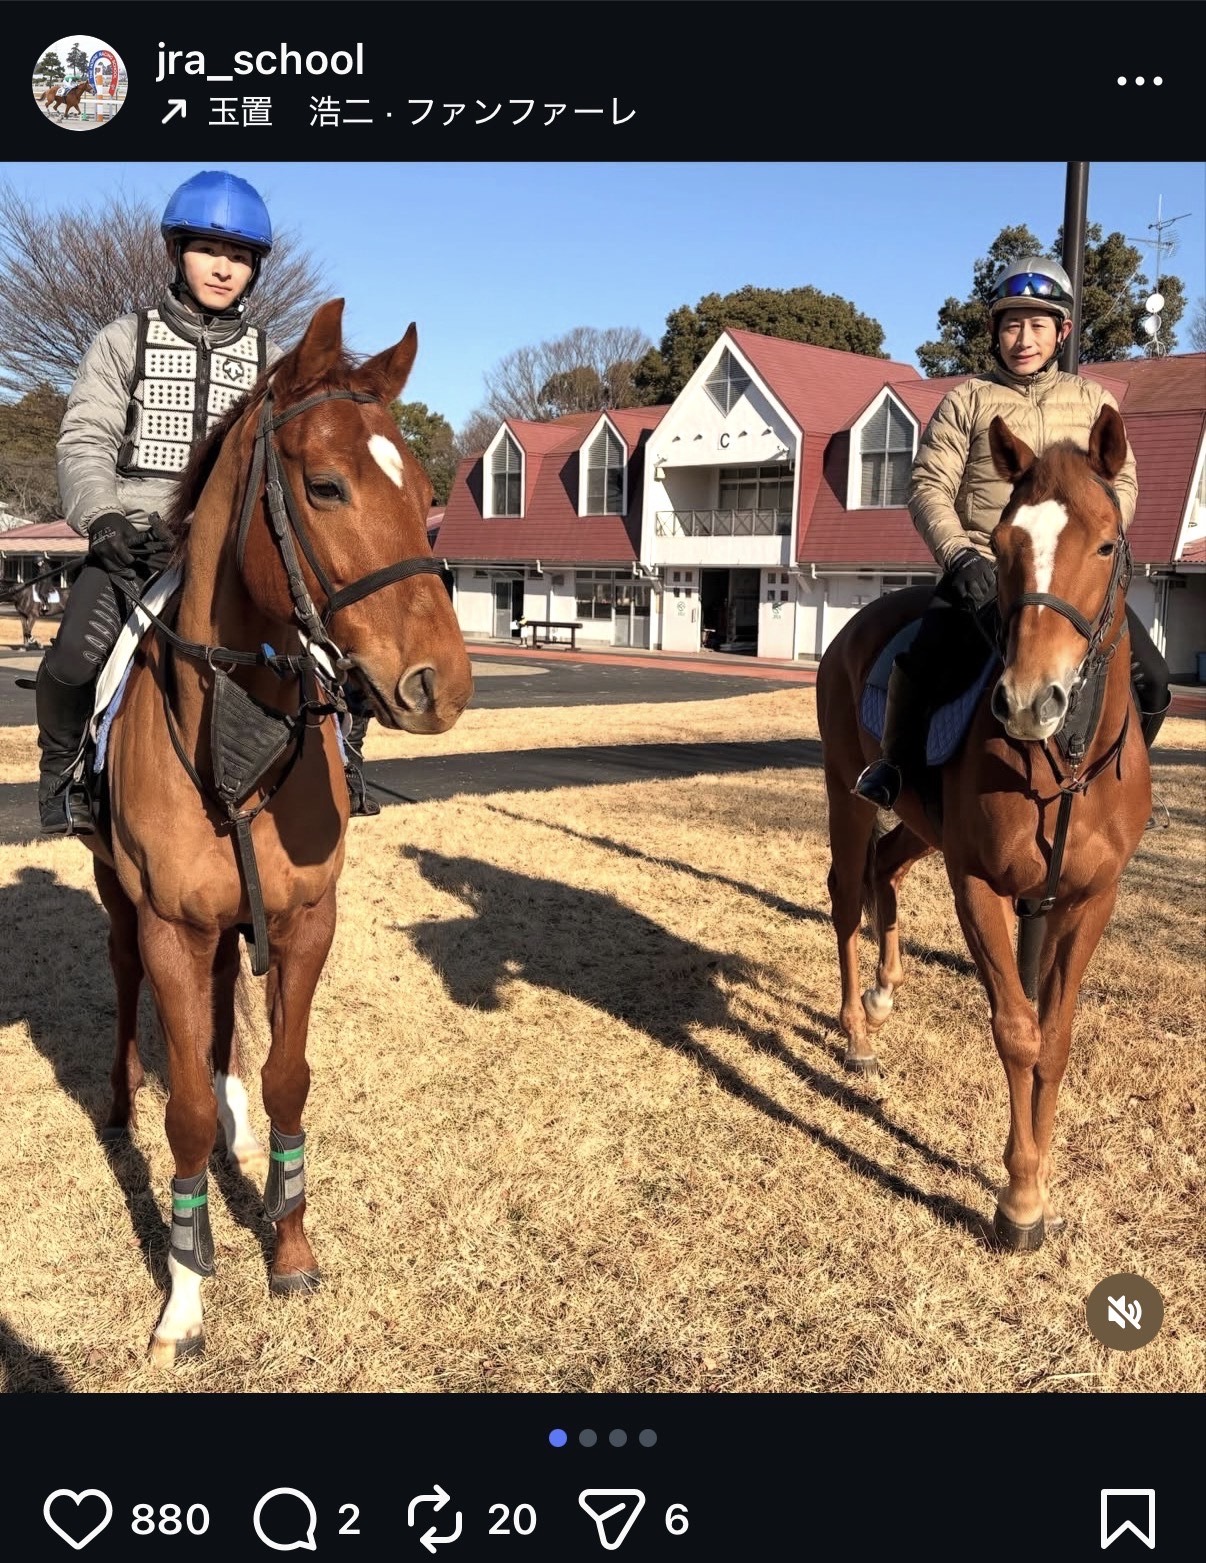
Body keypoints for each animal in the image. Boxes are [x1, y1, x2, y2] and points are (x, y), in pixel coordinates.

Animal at [80, 298, 474, 1364]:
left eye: (427, 490)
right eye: (327, 485)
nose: (444, 683)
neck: (236, 726)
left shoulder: (303, 919)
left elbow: (289, 1076)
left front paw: (289, 1243)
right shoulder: (170, 922)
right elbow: (179, 1116)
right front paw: (184, 1292)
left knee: (223, 1017)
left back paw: (237, 1120)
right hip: (121, 901)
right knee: (126, 987)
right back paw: (120, 1097)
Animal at [816, 404, 1149, 1252]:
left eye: (1106, 542)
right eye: (999, 548)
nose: (1029, 700)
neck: (1065, 762)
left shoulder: (1088, 899)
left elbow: (1054, 1037)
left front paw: (1039, 1175)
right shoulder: (978, 884)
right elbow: (1017, 1029)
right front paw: (1020, 1197)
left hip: (921, 825)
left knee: (886, 868)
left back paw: (885, 988)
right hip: (848, 791)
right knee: (846, 893)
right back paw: (857, 1033)